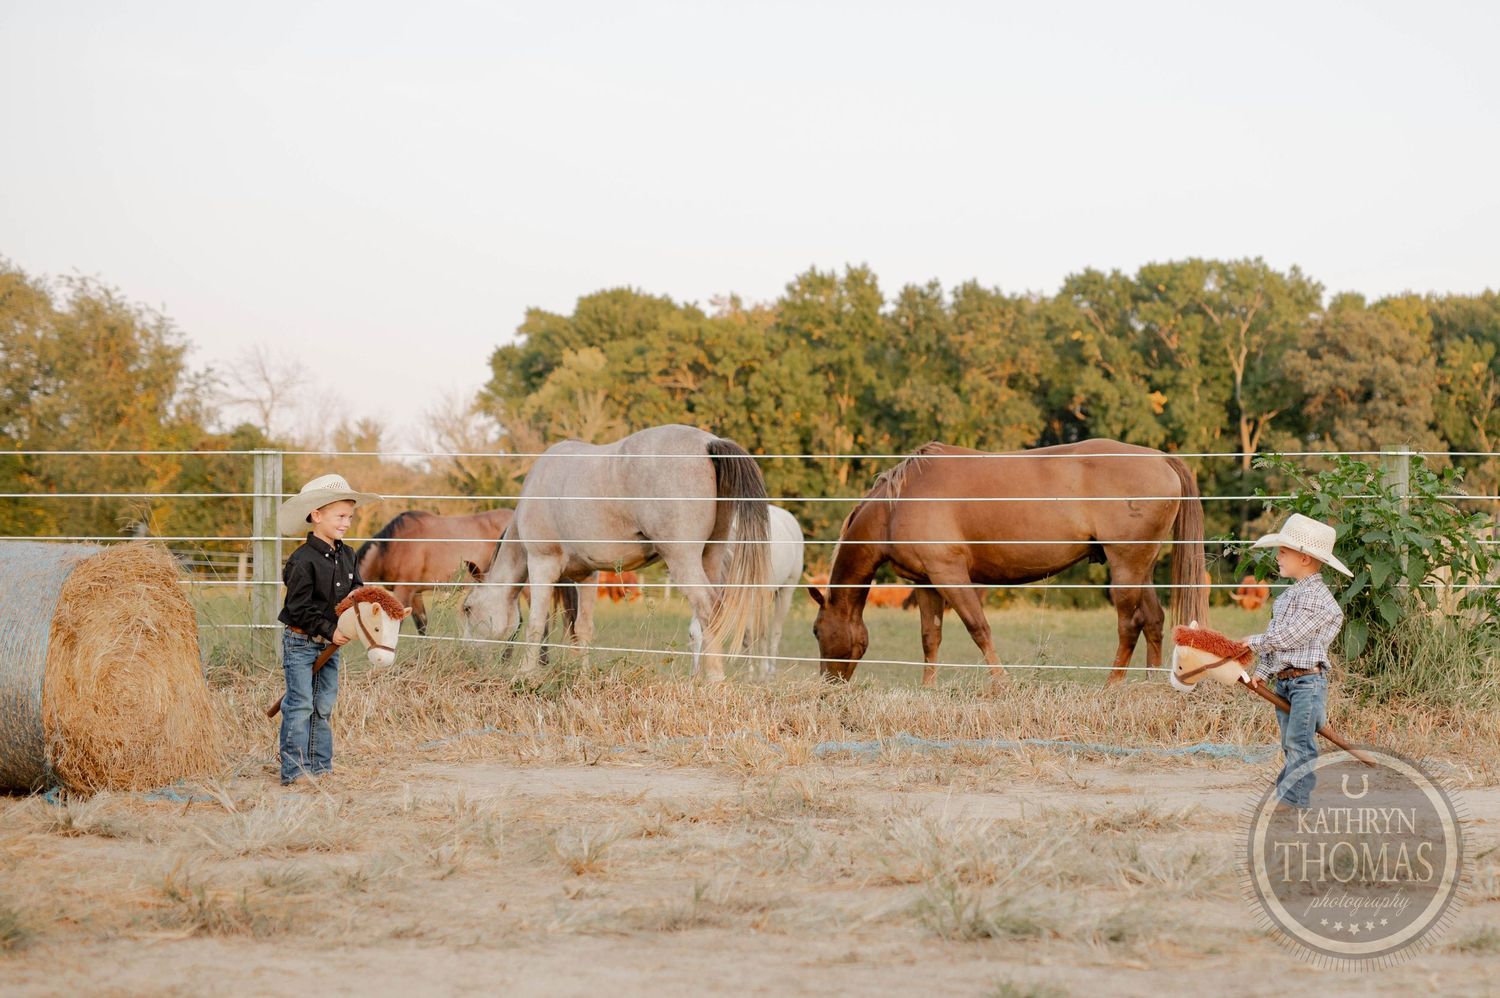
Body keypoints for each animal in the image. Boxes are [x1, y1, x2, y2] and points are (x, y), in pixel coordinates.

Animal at [461, 424, 773, 680]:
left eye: (467, 608)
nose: (468, 658)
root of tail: (709, 443)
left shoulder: (541, 565)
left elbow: (537, 625)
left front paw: (524, 674)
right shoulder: (587, 576)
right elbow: (582, 629)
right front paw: (582, 675)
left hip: (683, 560)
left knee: (710, 609)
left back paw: (714, 680)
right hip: (710, 557)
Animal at [689, 504, 805, 680]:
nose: (694, 677)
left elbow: (748, 634)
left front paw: (749, 675)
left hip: (786, 591)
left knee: (774, 633)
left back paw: (769, 672)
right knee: (763, 633)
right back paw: (763, 671)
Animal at [807, 438, 1208, 688]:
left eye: (815, 630)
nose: (828, 684)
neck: (897, 505)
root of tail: (1160, 458)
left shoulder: (950, 576)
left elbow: (978, 628)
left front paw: (1002, 684)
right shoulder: (927, 582)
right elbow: (930, 637)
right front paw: (928, 688)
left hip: (1125, 565)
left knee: (1130, 624)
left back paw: (1112, 685)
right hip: (1142, 566)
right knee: (1153, 620)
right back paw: (1148, 684)